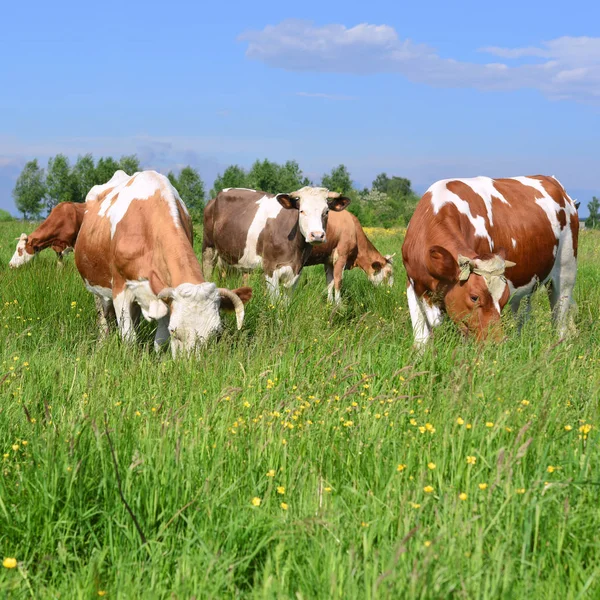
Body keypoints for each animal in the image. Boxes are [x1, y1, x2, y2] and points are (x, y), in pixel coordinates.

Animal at [74, 169, 252, 356]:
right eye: (174, 331)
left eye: (216, 333)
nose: (191, 362)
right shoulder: (120, 288)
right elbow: (128, 337)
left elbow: (160, 340)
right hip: (97, 286)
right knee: (103, 317)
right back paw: (102, 342)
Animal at [203, 186, 352, 300]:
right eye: (302, 211)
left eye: (326, 212)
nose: (317, 235)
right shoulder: (270, 269)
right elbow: (274, 301)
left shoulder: (297, 271)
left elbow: (286, 303)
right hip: (209, 249)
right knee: (208, 272)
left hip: (231, 258)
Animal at [400, 176, 580, 344]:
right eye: (474, 297)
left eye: (504, 297)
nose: (497, 341)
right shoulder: (412, 285)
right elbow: (421, 339)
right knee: (522, 314)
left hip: (566, 273)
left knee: (559, 318)